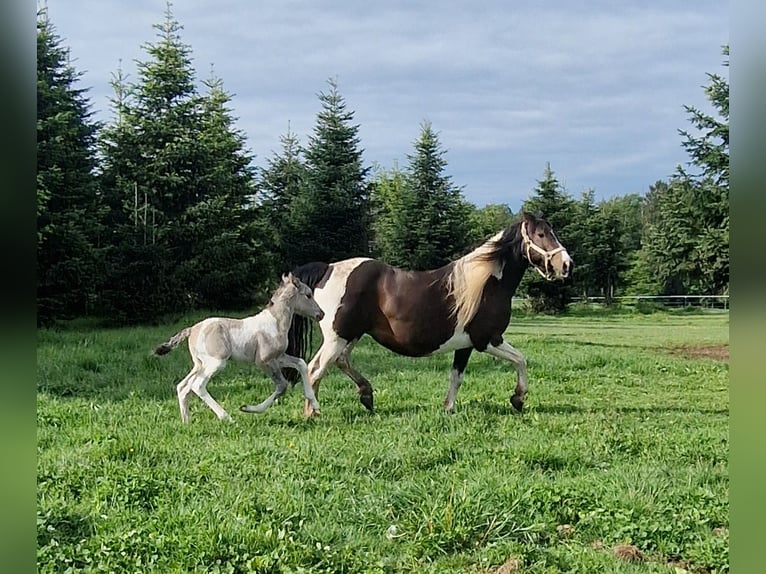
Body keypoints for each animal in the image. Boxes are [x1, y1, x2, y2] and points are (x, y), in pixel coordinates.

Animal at [153, 273, 325, 423]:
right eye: (308, 295)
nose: (321, 314)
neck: (275, 322)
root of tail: (192, 329)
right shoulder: (264, 361)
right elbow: (282, 386)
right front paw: (247, 408)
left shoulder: (279, 357)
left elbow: (301, 363)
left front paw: (315, 405)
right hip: (216, 362)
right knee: (198, 385)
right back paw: (226, 418)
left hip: (199, 364)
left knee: (183, 386)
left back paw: (186, 422)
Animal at [286, 212, 572, 417]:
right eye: (541, 234)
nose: (566, 265)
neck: (486, 284)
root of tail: (327, 268)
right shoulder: (487, 339)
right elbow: (521, 359)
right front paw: (518, 398)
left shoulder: (466, 345)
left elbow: (456, 376)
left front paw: (448, 408)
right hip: (339, 337)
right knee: (315, 369)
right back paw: (312, 412)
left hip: (351, 335)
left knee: (336, 362)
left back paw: (366, 396)